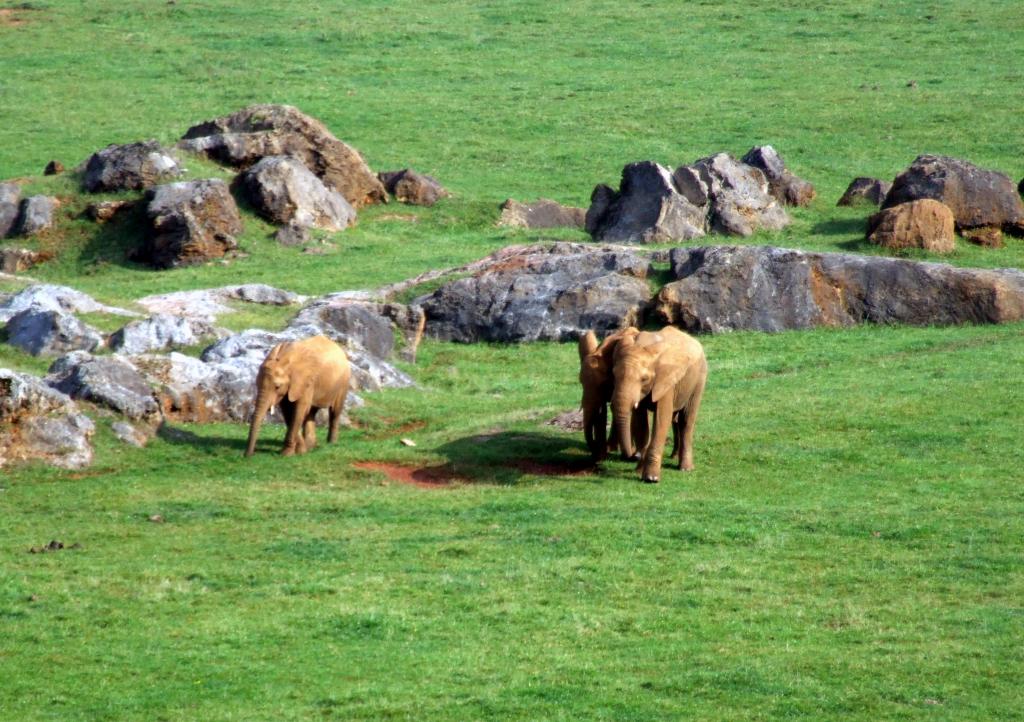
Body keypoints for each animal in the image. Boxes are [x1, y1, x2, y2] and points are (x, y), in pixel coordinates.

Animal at [610, 323, 708, 481]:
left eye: (644, 379)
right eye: (614, 374)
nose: (632, 456)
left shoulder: (666, 379)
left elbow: (662, 418)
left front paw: (651, 478)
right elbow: (641, 422)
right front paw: (638, 472)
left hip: (699, 377)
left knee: (687, 420)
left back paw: (686, 469)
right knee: (676, 419)